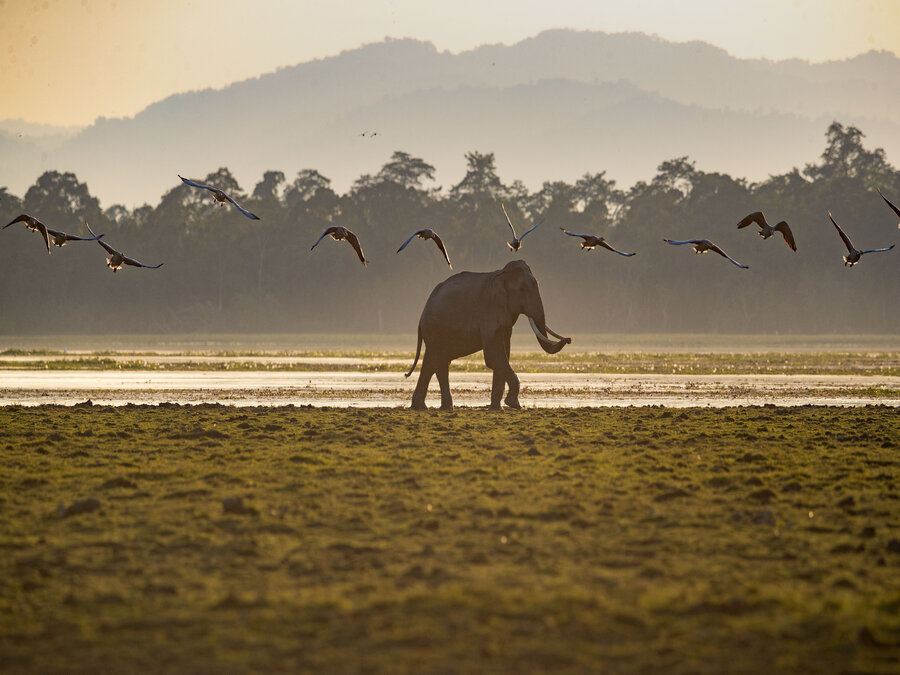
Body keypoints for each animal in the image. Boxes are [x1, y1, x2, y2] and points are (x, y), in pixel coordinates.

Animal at [406, 258, 568, 410]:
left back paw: (420, 407)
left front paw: (497, 409)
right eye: (522, 289)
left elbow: (504, 353)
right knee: (440, 363)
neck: (502, 274)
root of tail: (423, 313)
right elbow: (493, 356)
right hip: (435, 330)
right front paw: (514, 404)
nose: (568, 339)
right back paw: (446, 408)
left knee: (430, 362)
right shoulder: (489, 312)